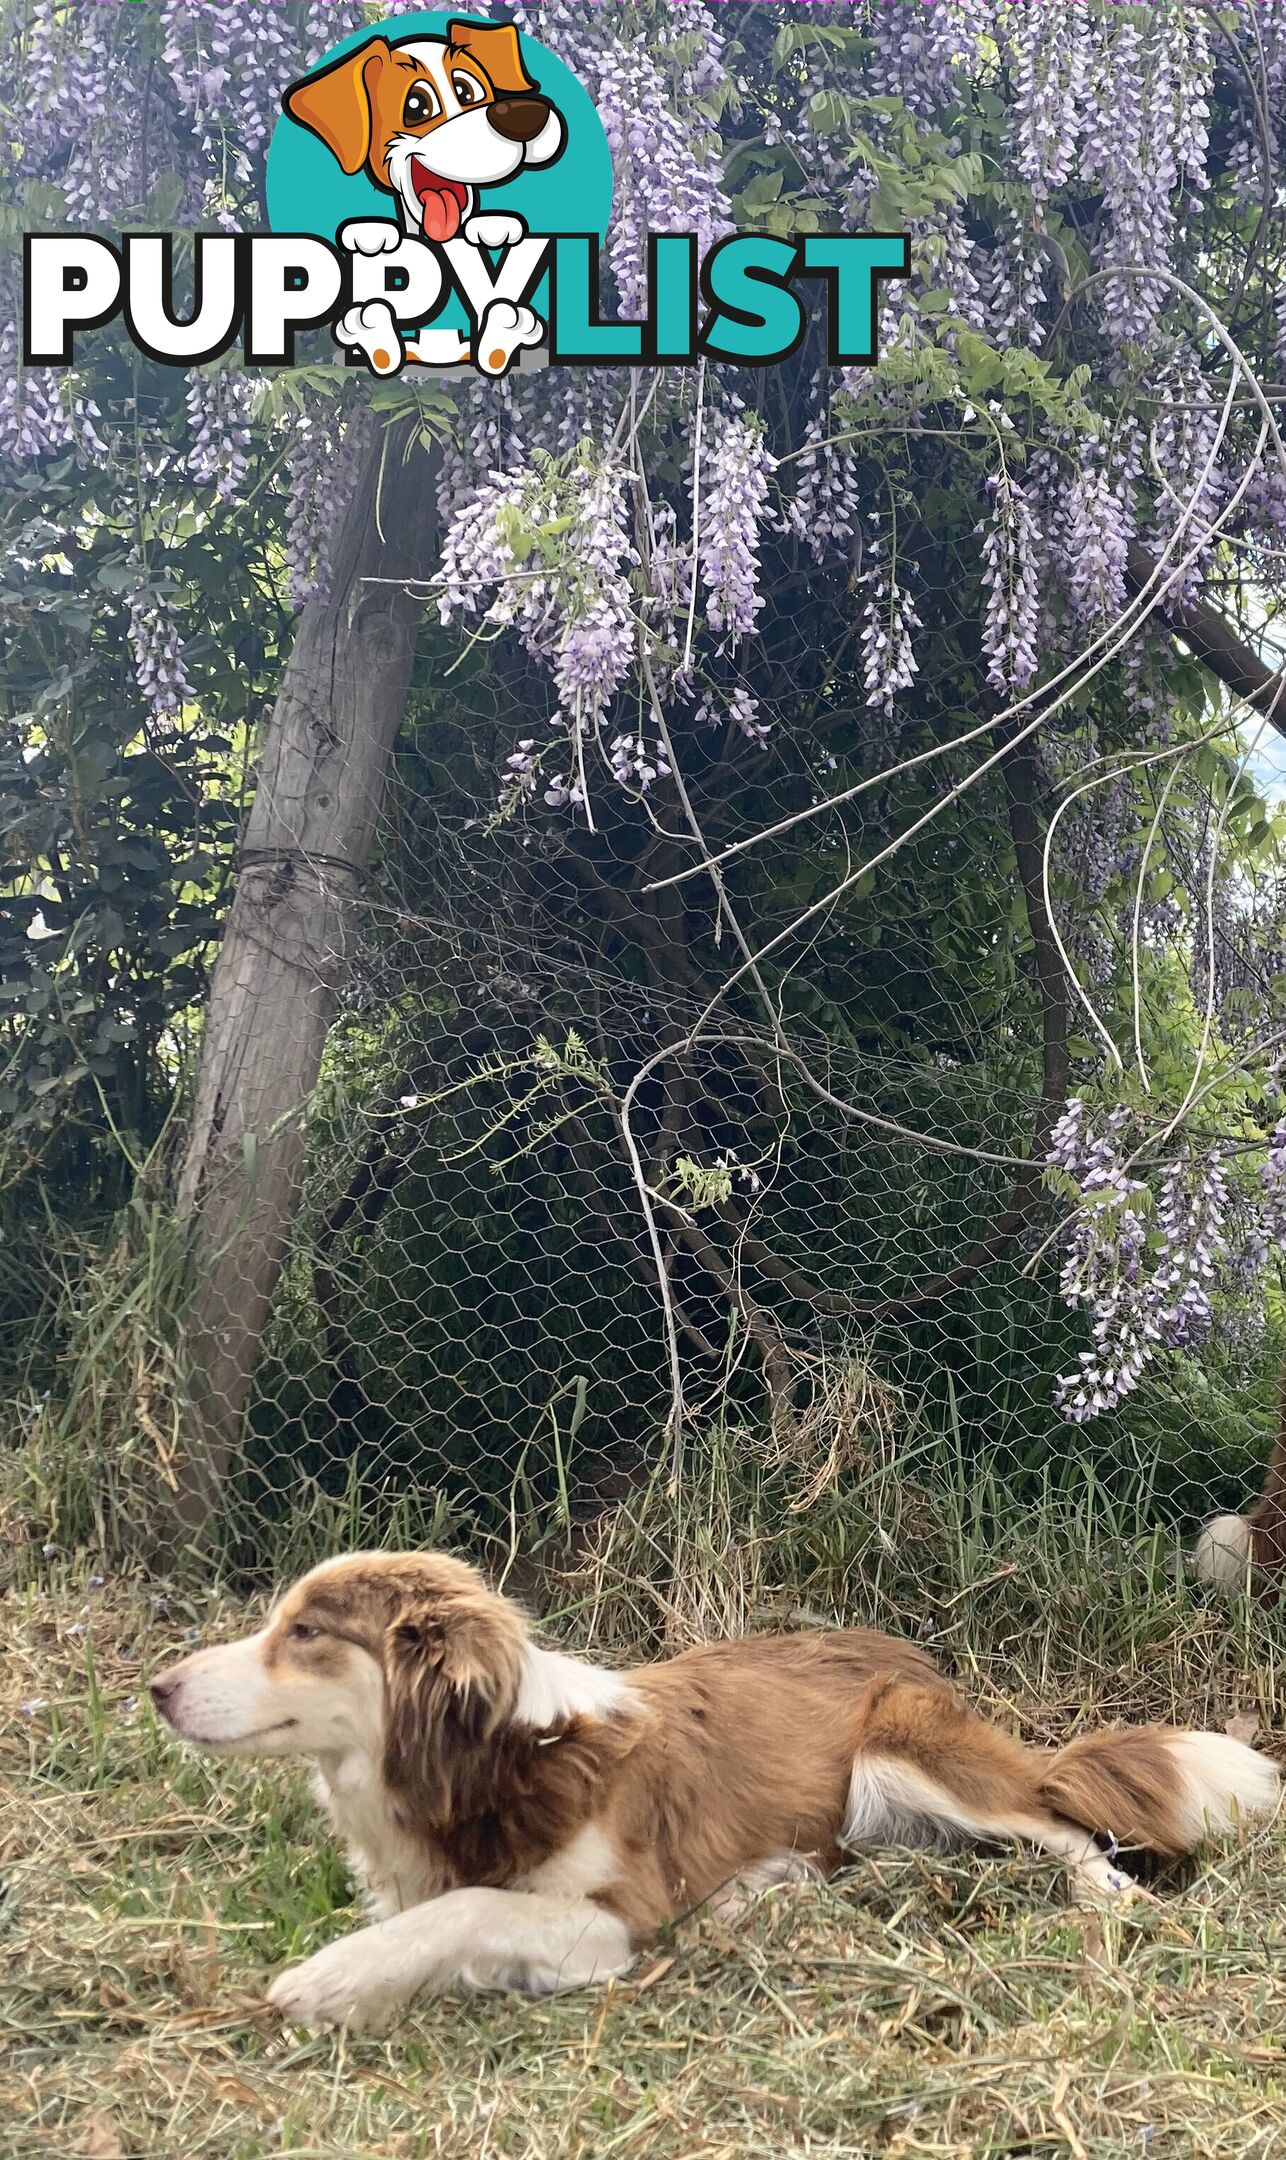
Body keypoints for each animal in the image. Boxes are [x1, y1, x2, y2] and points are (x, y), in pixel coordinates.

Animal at [148, 1546, 1279, 2030]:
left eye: (305, 1631)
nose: (156, 1686)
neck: (499, 1762)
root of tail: (910, 1652)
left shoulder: (621, 1915)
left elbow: (466, 1908)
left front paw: (330, 1980)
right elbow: (448, 1912)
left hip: (900, 1747)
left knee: (1059, 1821)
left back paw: (1103, 1895)